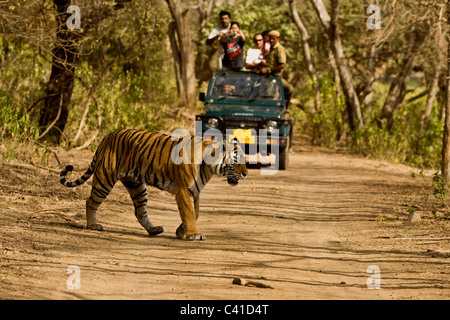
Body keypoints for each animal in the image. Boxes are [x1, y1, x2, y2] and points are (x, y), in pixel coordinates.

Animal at [58, 128, 248, 240]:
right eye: (236, 160)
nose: (246, 174)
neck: (209, 167)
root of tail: (107, 135)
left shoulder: (195, 192)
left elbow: (195, 213)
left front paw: (181, 231)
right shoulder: (184, 191)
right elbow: (189, 213)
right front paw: (193, 234)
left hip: (136, 186)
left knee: (139, 211)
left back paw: (154, 230)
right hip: (105, 179)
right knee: (90, 201)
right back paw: (93, 225)